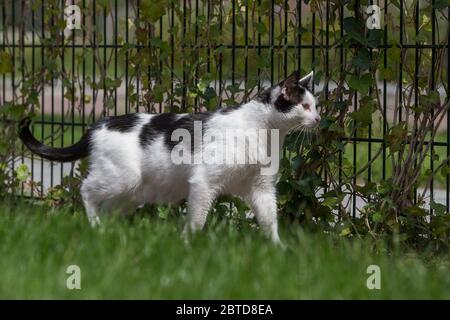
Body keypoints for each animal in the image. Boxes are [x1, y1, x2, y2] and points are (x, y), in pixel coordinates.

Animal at [19, 70, 318, 245]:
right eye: (305, 106)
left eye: (315, 106)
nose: (318, 118)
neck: (263, 131)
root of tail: (98, 124)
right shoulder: (203, 183)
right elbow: (197, 219)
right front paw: (188, 245)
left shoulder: (261, 188)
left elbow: (269, 220)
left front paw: (278, 249)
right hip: (122, 177)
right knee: (86, 190)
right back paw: (94, 226)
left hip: (130, 195)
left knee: (107, 207)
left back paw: (108, 233)